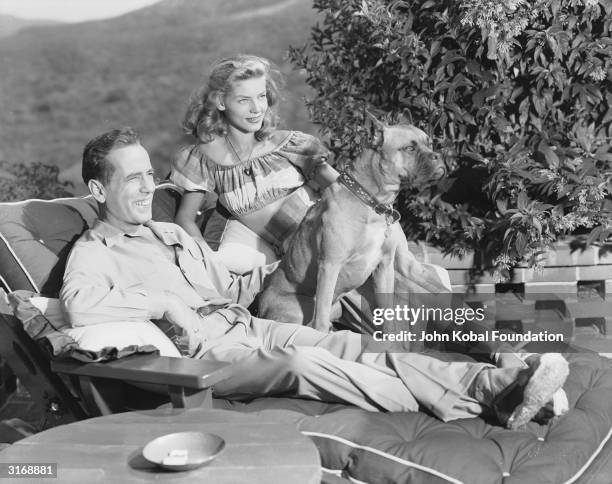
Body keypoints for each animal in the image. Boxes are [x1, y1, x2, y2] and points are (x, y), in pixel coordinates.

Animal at [256, 118, 444, 330]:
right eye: (410, 148)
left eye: (430, 144)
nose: (438, 156)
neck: (372, 203)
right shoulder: (330, 265)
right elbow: (320, 320)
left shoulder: (384, 268)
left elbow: (388, 314)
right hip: (298, 307)